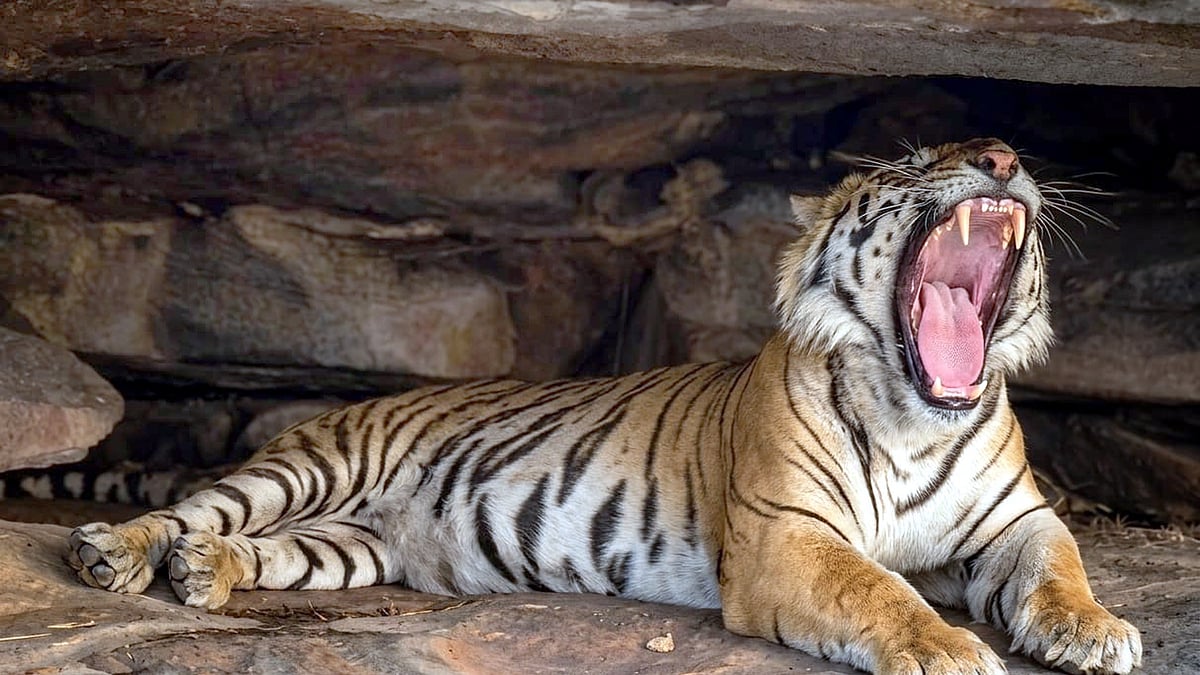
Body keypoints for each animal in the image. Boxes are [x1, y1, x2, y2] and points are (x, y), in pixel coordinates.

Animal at [66, 138, 1142, 675]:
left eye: (1006, 152)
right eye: (916, 162)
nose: (1001, 159)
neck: (916, 410)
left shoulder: (1015, 522)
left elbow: (1061, 567)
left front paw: (1094, 632)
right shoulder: (787, 532)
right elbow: (877, 588)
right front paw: (946, 649)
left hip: (350, 545)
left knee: (263, 548)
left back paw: (207, 572)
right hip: (316, 465)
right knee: (193, 506)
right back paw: (117, 554)